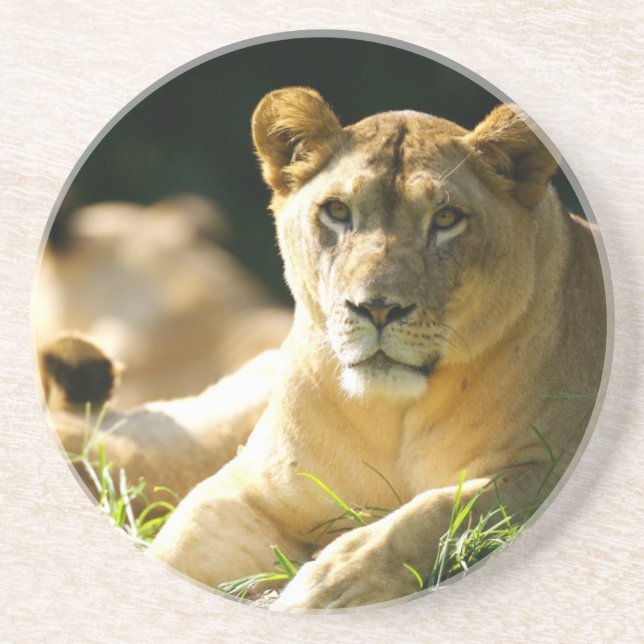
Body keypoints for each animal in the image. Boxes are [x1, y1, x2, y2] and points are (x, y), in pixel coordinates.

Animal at [46, 87, 607, 610]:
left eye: (447, 219)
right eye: (338, 211)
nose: (376, 308)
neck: (392, 414)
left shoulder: (543, 466)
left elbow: (440, 512)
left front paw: (330, 587)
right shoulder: (251, 486)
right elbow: (181, 542)